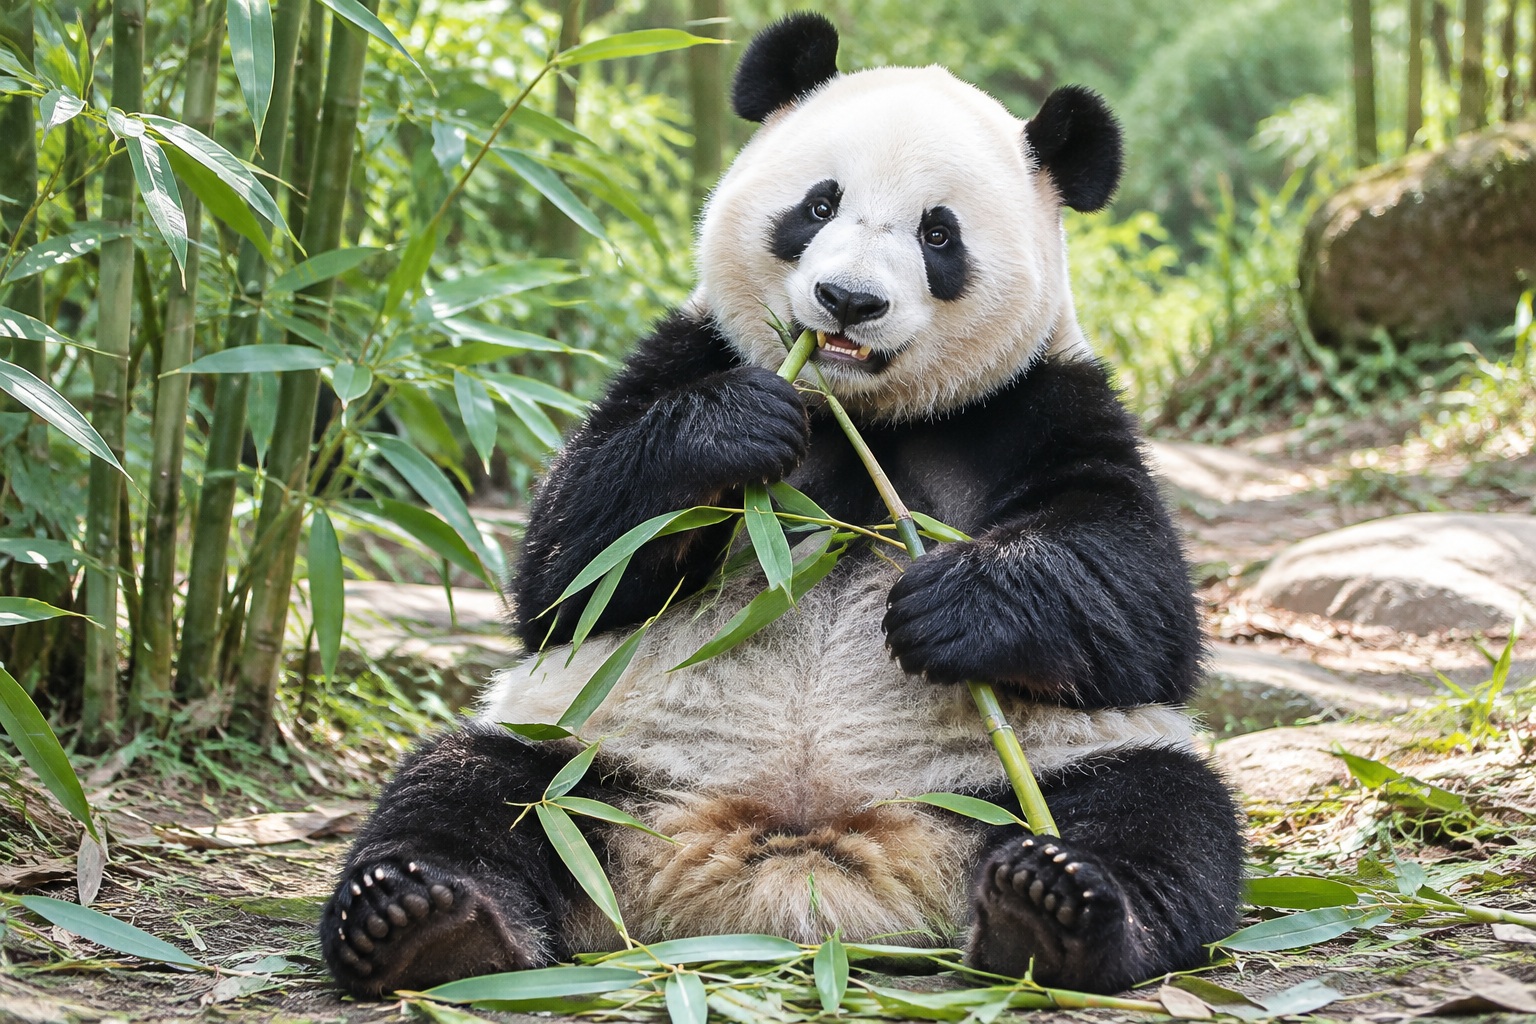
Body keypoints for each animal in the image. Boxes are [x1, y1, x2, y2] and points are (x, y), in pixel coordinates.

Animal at [321, 12, 1244, 998]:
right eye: (819, 205)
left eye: (939, 234)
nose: (849, 300)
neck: (856, 411)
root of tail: (790, 857)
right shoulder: (692, 350)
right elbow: (567, 571)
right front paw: (728, 432)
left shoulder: (1041, 400)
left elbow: (1142, 600)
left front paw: (954, 605)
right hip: (594, 757)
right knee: (470, 788)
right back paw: (422, 919)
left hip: (1029, 769)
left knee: (1160, 813)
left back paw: (1056, 909)